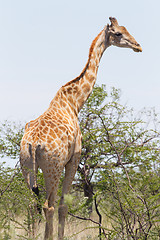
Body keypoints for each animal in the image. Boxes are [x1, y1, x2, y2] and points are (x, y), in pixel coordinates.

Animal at [20, 17, 142, 240]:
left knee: (33, 205)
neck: (74, 102)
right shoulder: (74, 159)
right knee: (48, 206)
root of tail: (33, 144)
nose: (138, 46)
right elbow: (63, 206)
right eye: (118, 33)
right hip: (52, 167)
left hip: (26, 167)